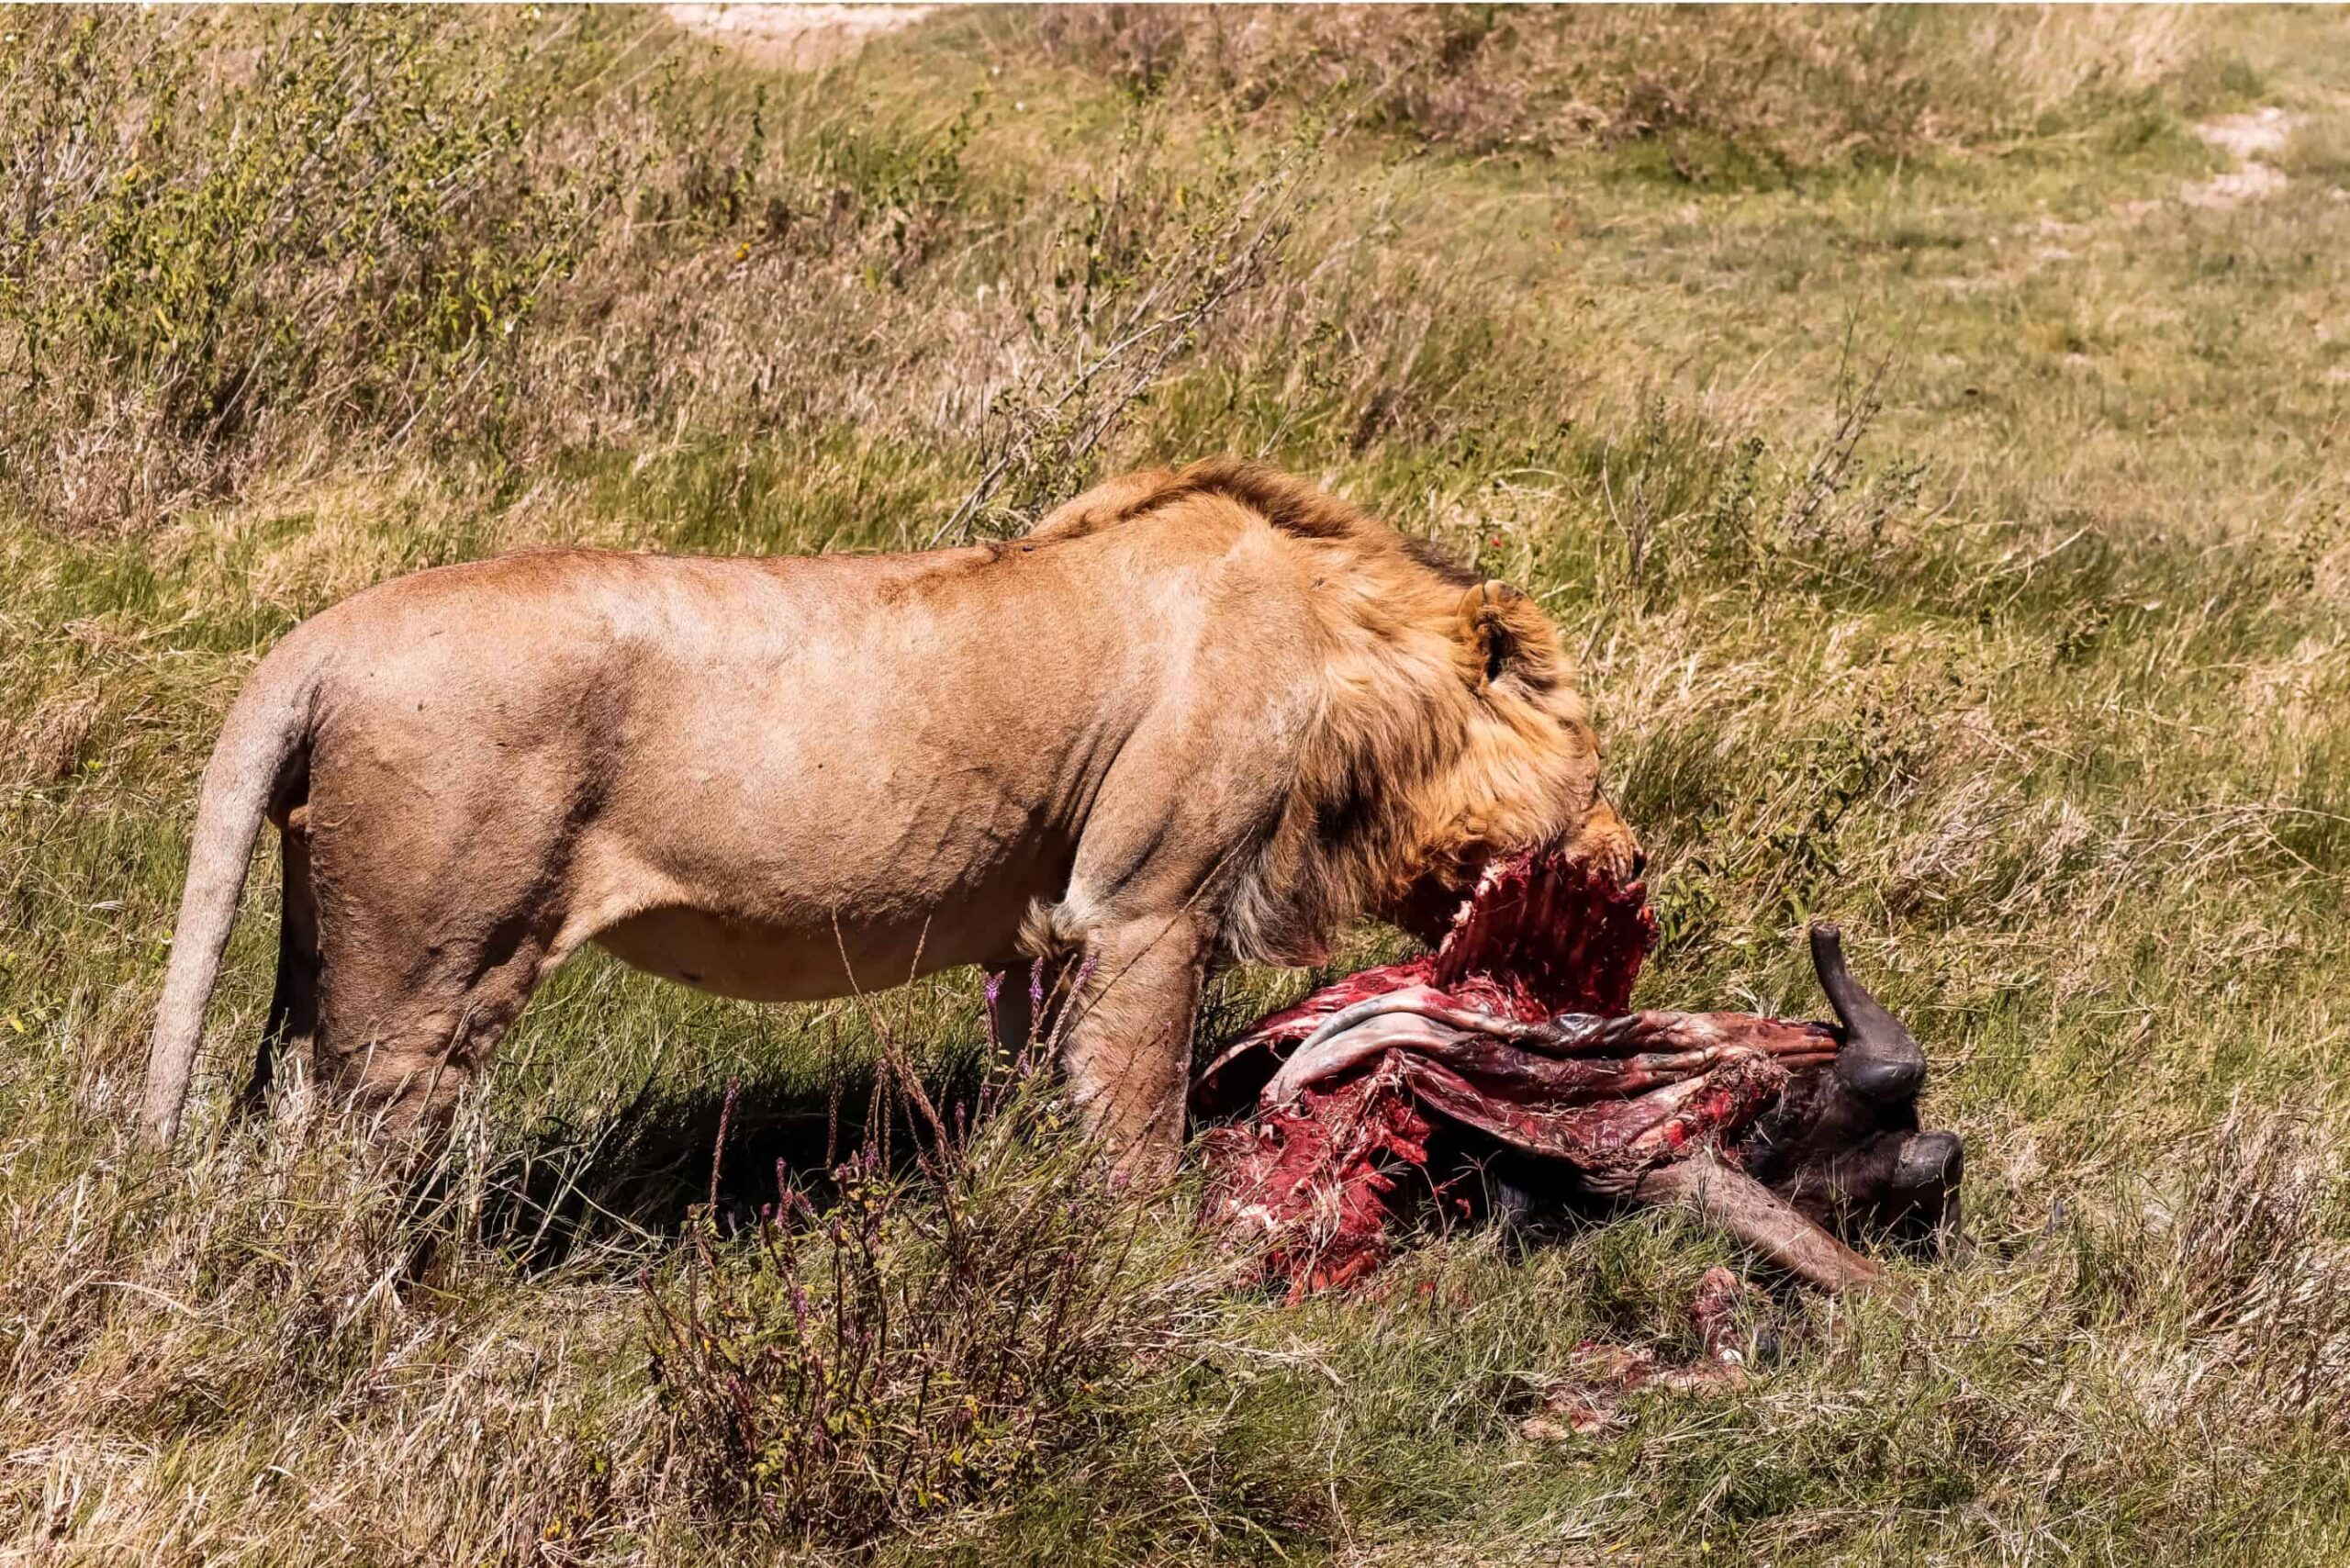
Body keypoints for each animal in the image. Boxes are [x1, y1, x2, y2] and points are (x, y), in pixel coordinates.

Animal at [142, 460, 1637, 1175]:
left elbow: (1049, 1076)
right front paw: (1156, 1256)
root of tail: (319, 640)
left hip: (324, 947)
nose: (1635, 861)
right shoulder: (1150, 903)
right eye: (1593, 758)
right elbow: (1139, 1106)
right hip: (425, 976)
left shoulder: (1053, 925)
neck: (1346, 670)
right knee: (344, 1152)